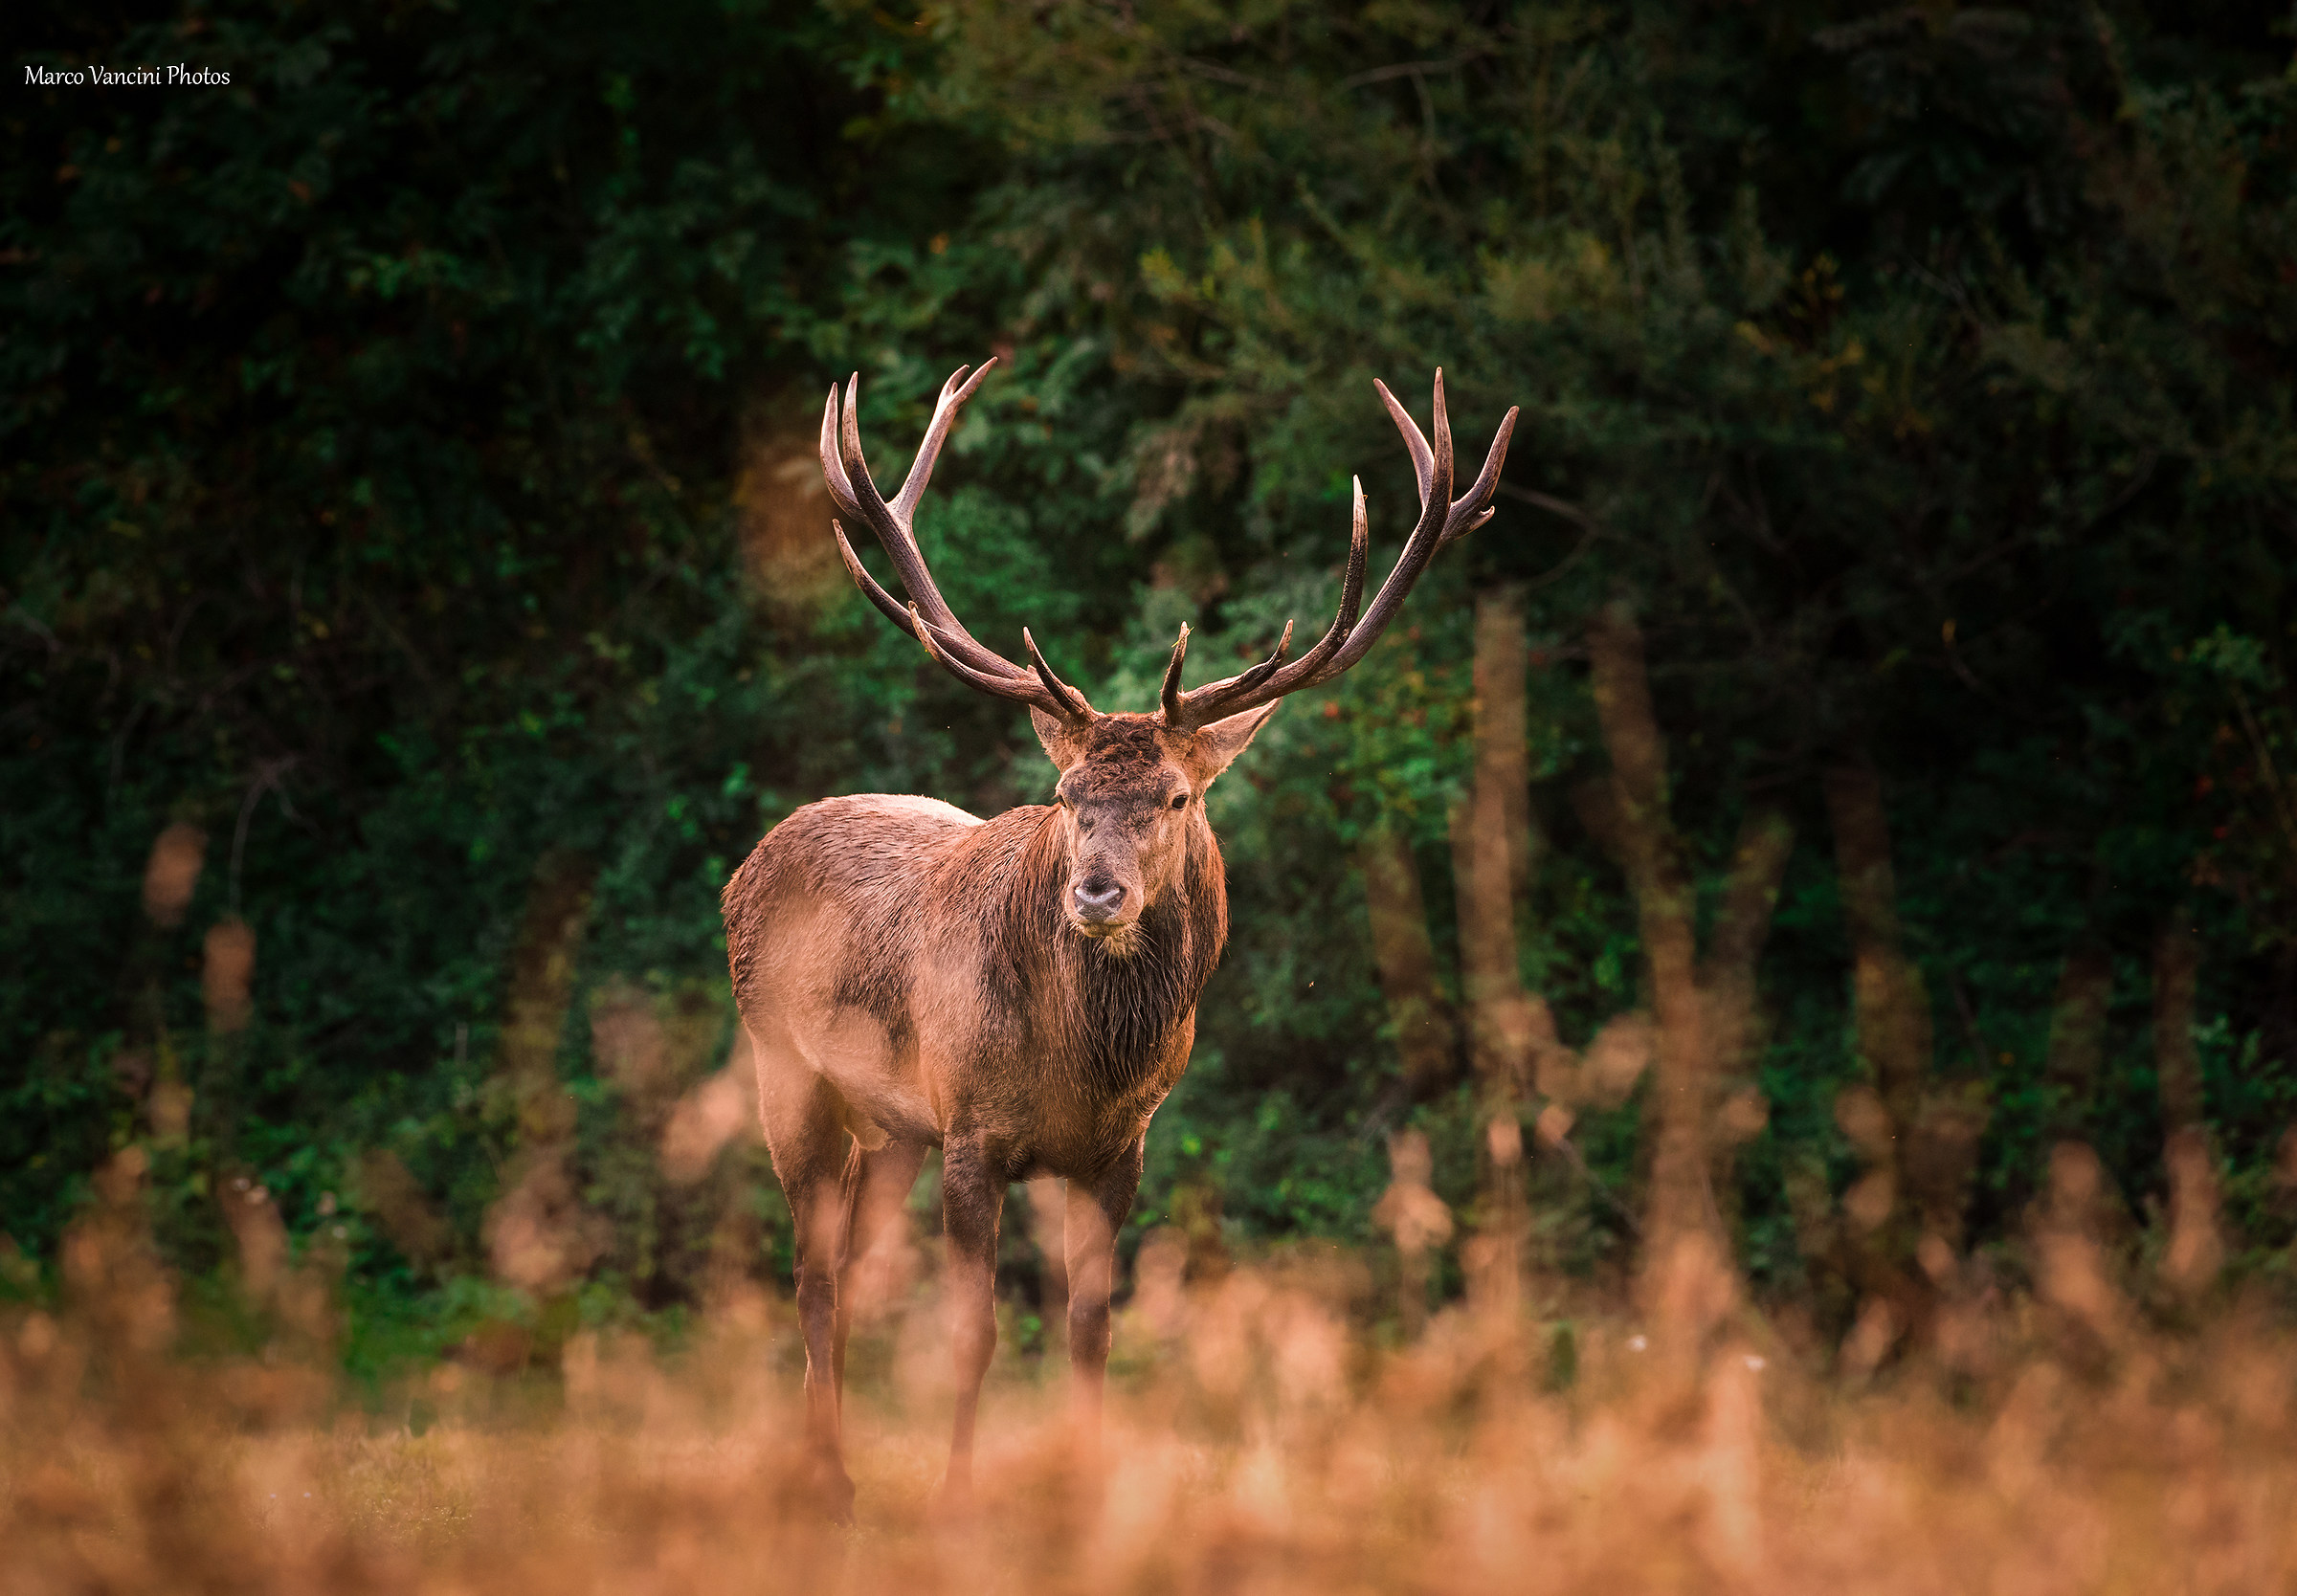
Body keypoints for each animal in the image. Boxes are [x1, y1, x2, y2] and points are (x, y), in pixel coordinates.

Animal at [721, 357, 1517, 1517]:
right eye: (1066, 795)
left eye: (1177, 797)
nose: (1095, 894)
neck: (1084, 1062)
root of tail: (750, 861)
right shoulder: (973, 1131)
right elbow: (974, 1331)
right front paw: (959, 1499)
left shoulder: (1119, 1150)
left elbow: (1092, 1331)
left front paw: (1085, 1493)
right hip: (786, 1067)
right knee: (812, 1274)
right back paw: (826, 1480)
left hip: (896, 1123)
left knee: (853, 1266)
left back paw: (840, 1465)